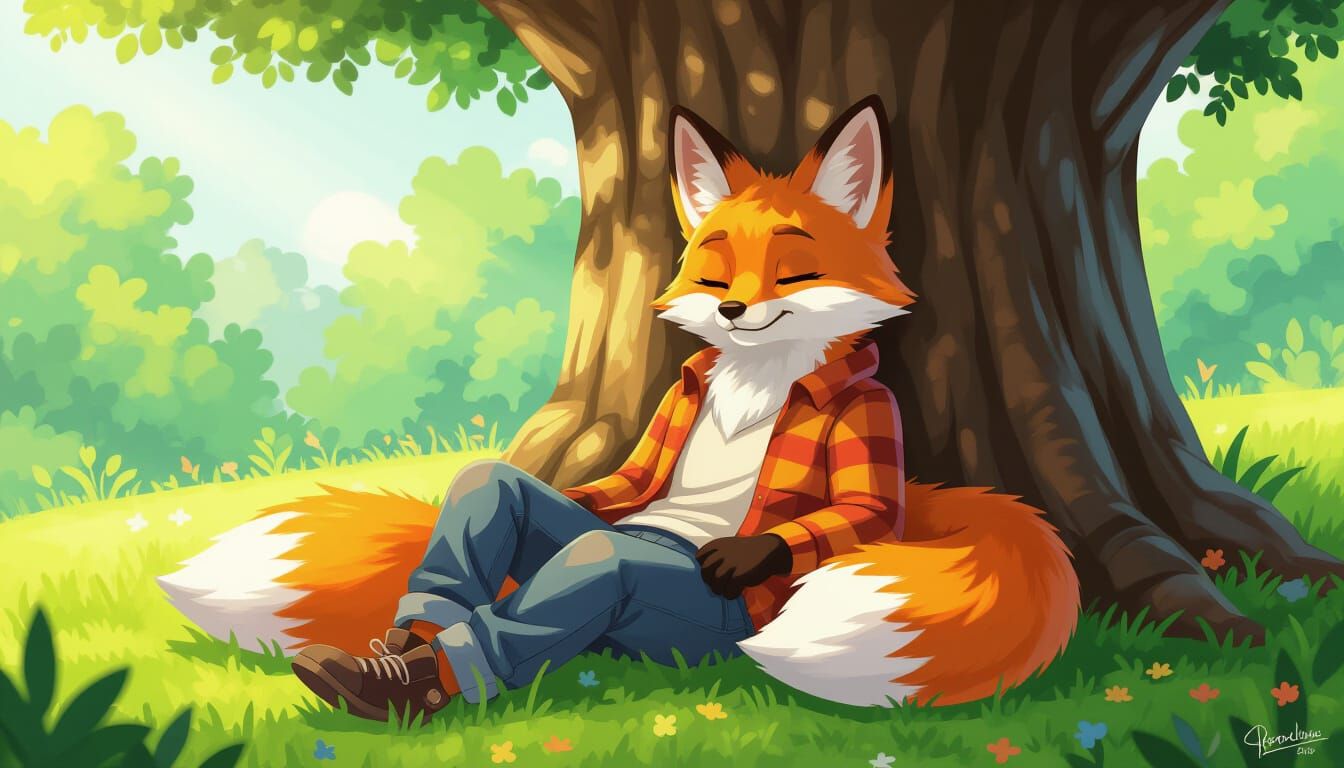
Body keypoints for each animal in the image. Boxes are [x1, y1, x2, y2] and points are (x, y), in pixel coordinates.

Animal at [159, 95, 1079, 710]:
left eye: (793, 272)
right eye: (714, 271)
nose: (733, 311)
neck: (754, 383)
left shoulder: (872, 419)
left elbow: (860, 510)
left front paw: (746, 553)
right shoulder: (656, 440)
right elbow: (601, 480)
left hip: (662, 610)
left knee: (587, 569)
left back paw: (398, 681)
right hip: (569, 535)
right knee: (501, 502)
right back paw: (388, 650)